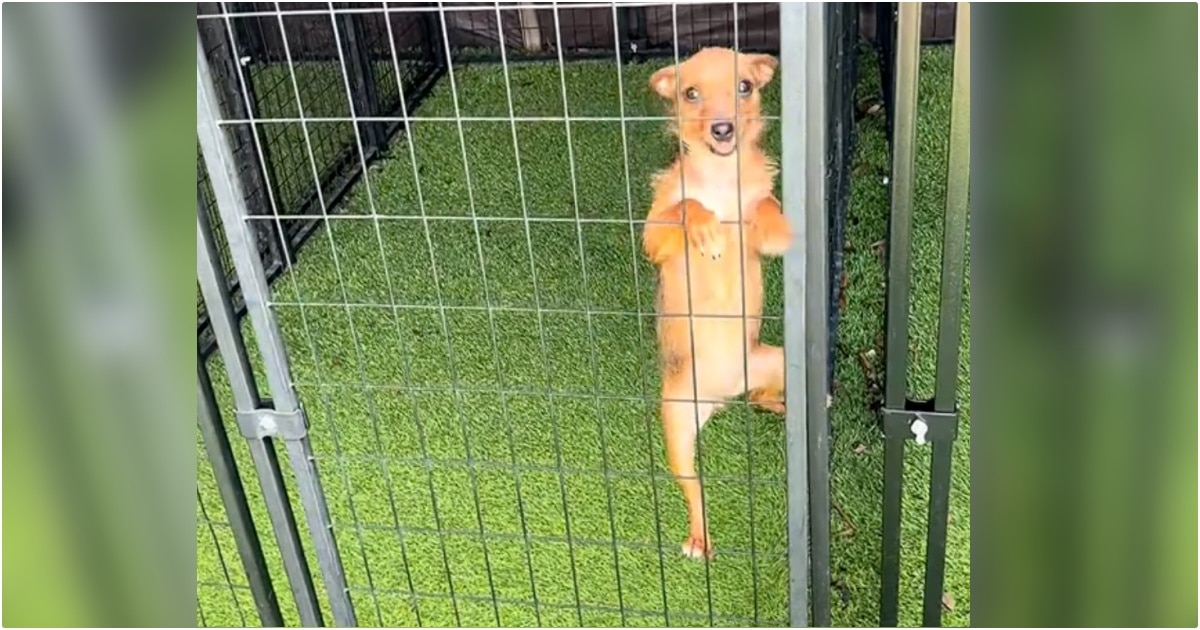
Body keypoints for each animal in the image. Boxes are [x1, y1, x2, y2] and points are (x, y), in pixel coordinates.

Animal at [643, 50, 792, 559]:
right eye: (690, 94)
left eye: (744, 86)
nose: (723, 129)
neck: (723, 180)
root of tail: (721, 397)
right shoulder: (653, 236)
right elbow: (685, 207)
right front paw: (706, 227)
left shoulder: (768, 232)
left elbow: (764, 207)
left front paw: (762, 215)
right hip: (676, 429)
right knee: (694, 492)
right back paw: (698, 537)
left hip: (776, 362)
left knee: (761, 396)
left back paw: (783, 405)